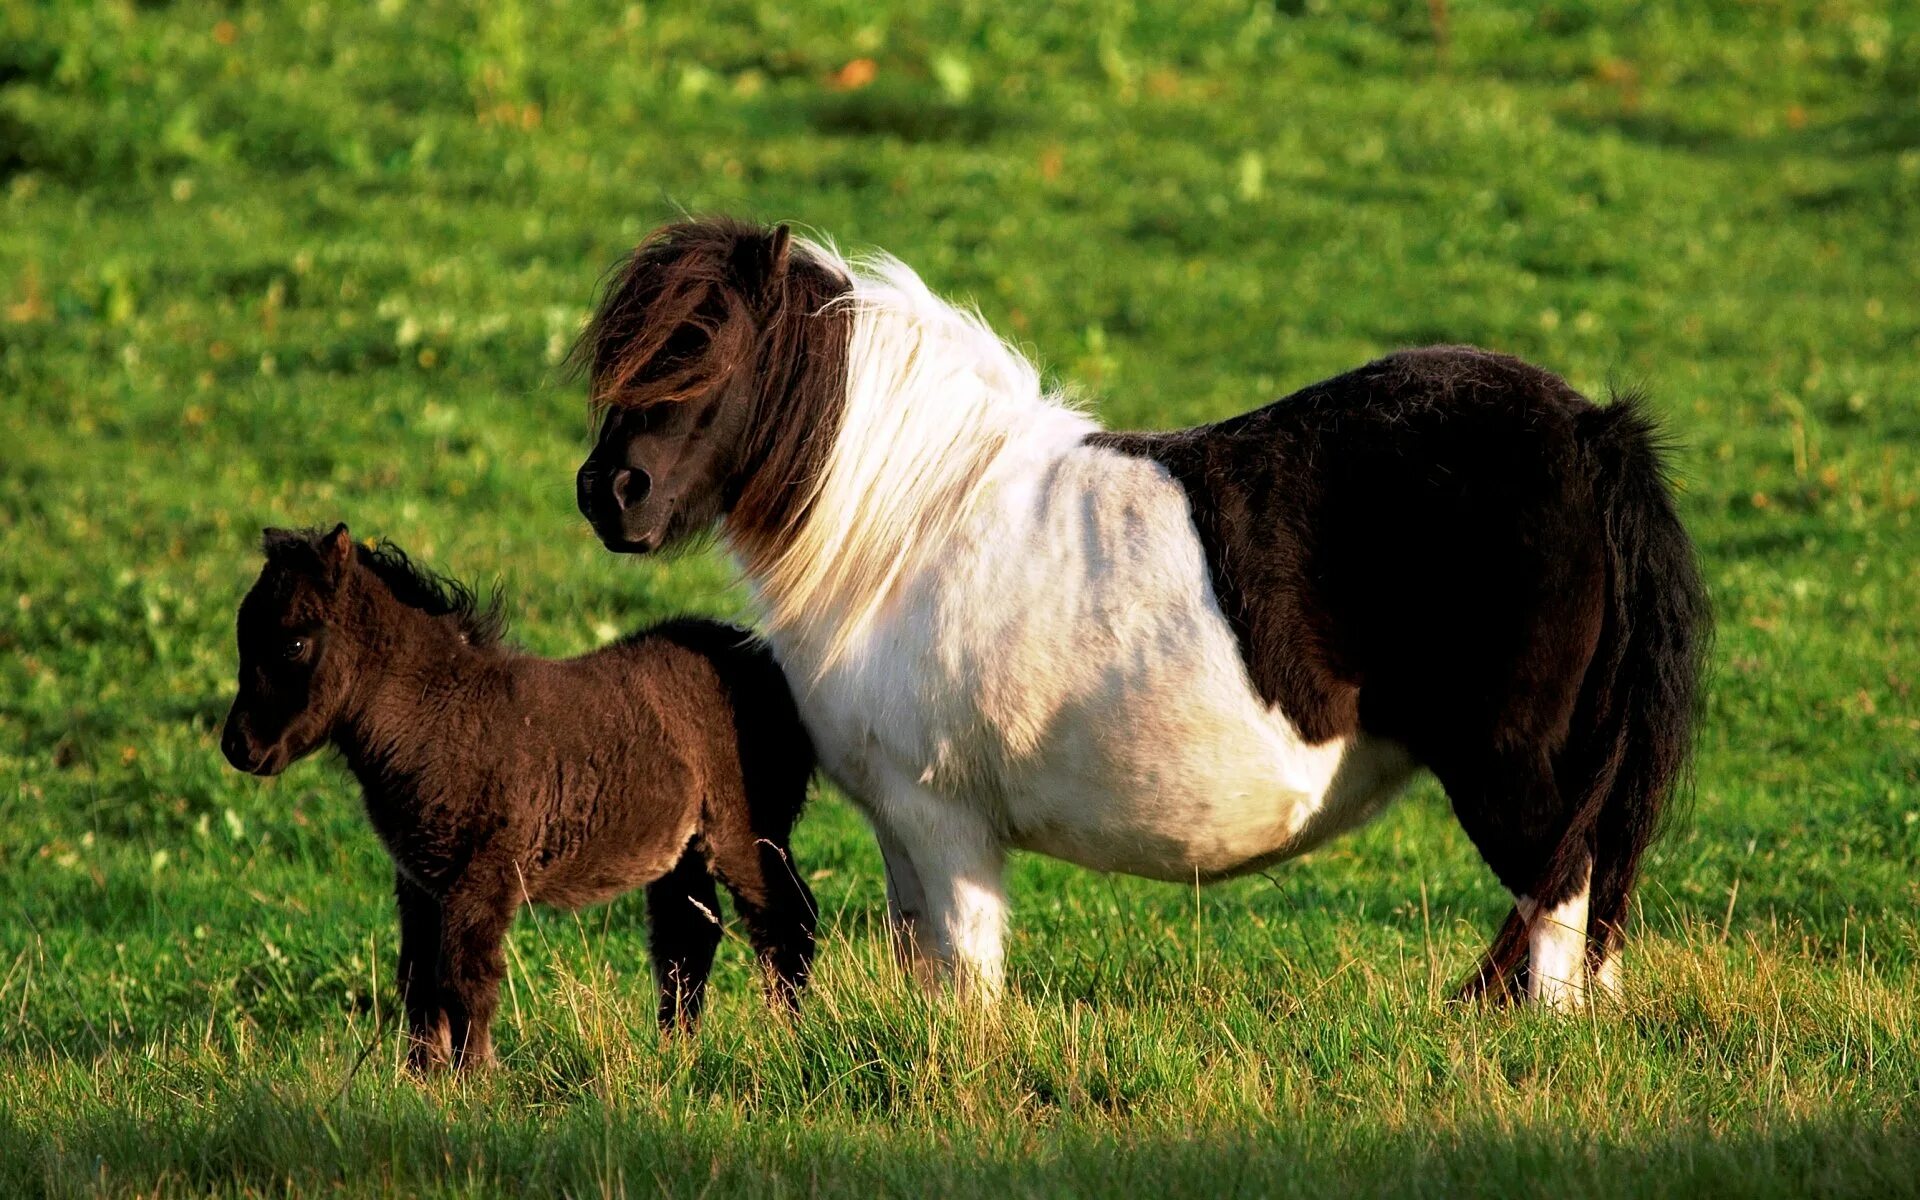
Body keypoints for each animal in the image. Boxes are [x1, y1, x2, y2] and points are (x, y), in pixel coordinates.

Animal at [219, 522, 817, 1067]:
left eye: (294, 643)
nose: (238, 748)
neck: (435, 716)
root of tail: (767, 663)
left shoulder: (481, 877)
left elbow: (466, 983)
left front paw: (474, 1084)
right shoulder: (419, 881)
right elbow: (418, 981)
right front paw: (421, 1084)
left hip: (744, 831)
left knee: (786, 921)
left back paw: (789, 1042)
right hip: (682, 851)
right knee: (686, 940)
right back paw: (678, 1053)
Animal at [568, 219, 1712, 1006]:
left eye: (706, 354)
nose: (608, 494)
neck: (910, 522)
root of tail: (1590, 432)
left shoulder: (944, 821)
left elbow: (968, 988)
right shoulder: (901, 827)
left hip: (1512, 775)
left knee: (1556, 910)